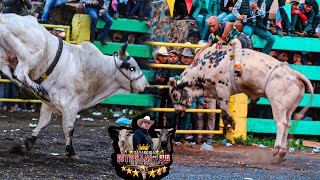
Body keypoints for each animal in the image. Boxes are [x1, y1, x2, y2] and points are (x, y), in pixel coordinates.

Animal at [0, 14, 149, 160]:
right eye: (132, 68)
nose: (146, 86)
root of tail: (4, 19)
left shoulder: (50, 104)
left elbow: (43, 122)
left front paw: (29, 141)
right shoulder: (71, 105)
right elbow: (69, 128)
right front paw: (71, 151)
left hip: (4, 55)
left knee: (8, 71)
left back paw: (27, 89)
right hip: (31, 57)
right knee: (19, 73)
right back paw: (38, 90)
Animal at [169, 39, 314, 163]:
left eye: (175, 95)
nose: (177, 112)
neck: (203, 67)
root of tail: (296, 75)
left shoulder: (222, 88)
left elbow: (225, 108)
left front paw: (232, 123)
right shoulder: (215, 92)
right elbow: (223, 110)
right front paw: (228, 123)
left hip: (277, 105)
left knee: (281, 124)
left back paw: (277, 149)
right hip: (289, 107)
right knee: (288, 124)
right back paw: (282, 152)